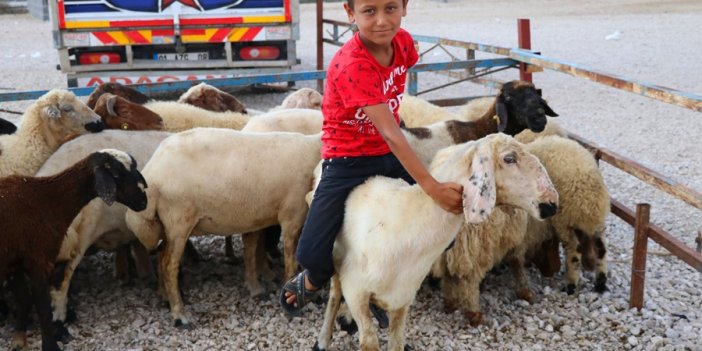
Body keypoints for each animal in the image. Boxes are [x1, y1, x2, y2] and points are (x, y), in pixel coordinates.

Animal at [0, 149, 148, 351]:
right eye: (117, 174)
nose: (144, 201)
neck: (47, 200)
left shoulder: (14, 262)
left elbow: (24, 300)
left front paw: (19, 340)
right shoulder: (40, 258)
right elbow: (43, 308)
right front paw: (51, 346)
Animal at [126, 129, 324, 330]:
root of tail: (153, 171)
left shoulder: (255, 217)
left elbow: (251, 252)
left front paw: (255, 288)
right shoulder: (292, 215)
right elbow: (292, 260)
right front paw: (294, 299)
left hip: (168, 225)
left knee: (160, 257)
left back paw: (164, 297)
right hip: (178, 220)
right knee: (168, 266)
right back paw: (179, 315)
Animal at [314, 135, 560, 351]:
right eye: (509, 158)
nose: (551, 204)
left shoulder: (403, 297)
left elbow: (396, 342)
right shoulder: (356, 291)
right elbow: (369, 342)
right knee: (334, 296)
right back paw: (324, 339)